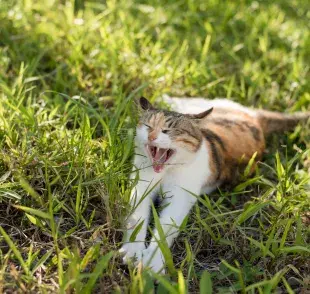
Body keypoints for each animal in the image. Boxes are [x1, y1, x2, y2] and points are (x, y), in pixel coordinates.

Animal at [118, 97, 308, 274]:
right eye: (148, 126)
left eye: (167, 130)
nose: (151, 137)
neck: (165, 172)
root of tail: (255, 118)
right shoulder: (140, 187)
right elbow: (136, 219)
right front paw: (132, 251)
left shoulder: (180, 197)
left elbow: (165, 229)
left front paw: (153, 260)